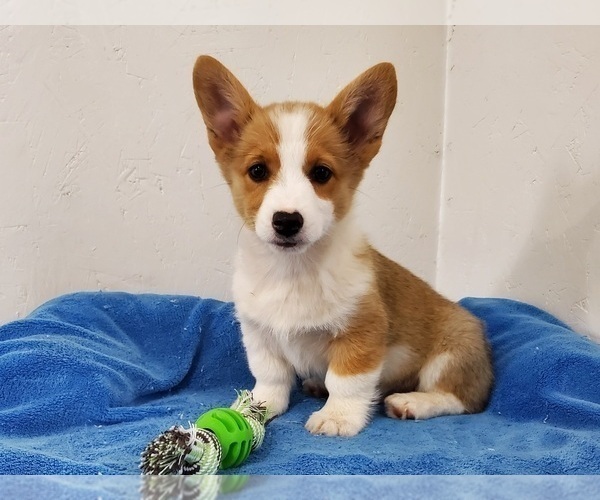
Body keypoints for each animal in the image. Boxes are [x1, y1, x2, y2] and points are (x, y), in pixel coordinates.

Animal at [192, 56, 492, 436]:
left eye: (321, 173)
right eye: (258, 171)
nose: (286, 221)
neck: (293, 271)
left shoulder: (362, 331)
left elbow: (346, 381)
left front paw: (338, 416)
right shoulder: (258, 333)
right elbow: (271, 375)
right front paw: (257, 407)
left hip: (451, 353)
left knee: (459, 399)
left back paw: (412, 402)